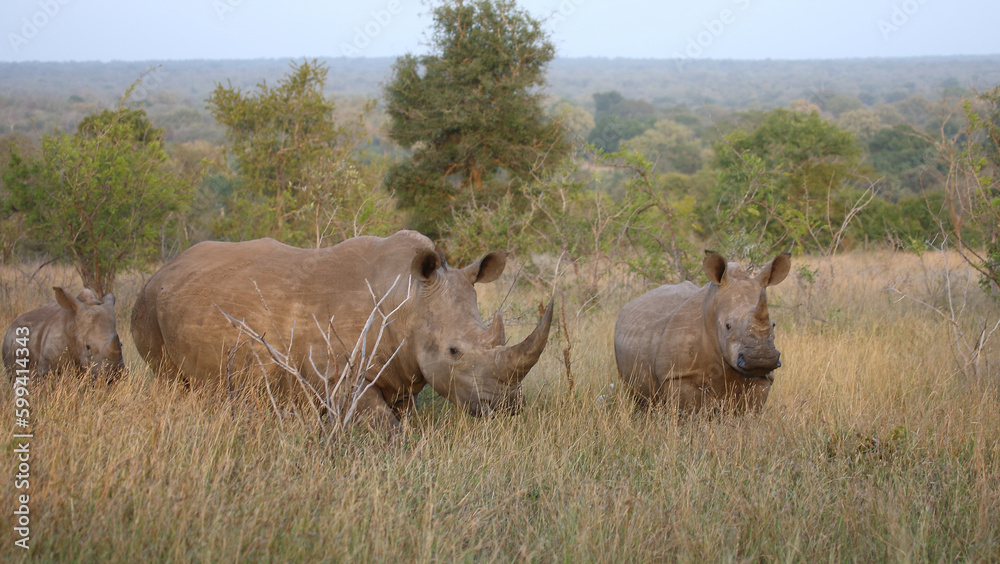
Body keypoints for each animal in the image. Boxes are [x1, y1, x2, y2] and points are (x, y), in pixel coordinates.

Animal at [130, 230, 553, 427]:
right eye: (454, 351)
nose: (508, 408)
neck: (410, 301)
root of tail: (163, 270)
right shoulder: (338, 377)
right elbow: (384, 424)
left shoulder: (400, 371)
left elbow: (399, 418)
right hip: (147, 306)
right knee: (170, 379)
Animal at [614, 251, 790, 413]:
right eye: (728, 326)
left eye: (773, 324)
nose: (761, 359)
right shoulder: (678, 375)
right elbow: (690, 412)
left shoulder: (763, 377)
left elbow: (751, 411)